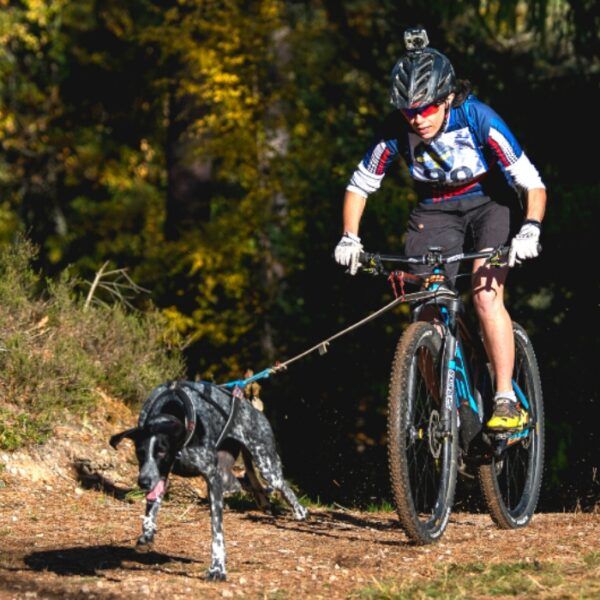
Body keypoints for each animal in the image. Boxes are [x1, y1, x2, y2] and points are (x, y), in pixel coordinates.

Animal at [108, 380, 308, 580]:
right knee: (245, 483)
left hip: (266, 466)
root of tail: (253, 409)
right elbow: (152, 506)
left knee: (282, 485)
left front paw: (218, 568)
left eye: (162, 452)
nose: (143, 482)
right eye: (140, 452)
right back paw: (262, 499)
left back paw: (300, 511)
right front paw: (147, 533)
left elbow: (217, 533)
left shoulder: (212, 479)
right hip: (226, 476)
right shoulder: (161, 474)